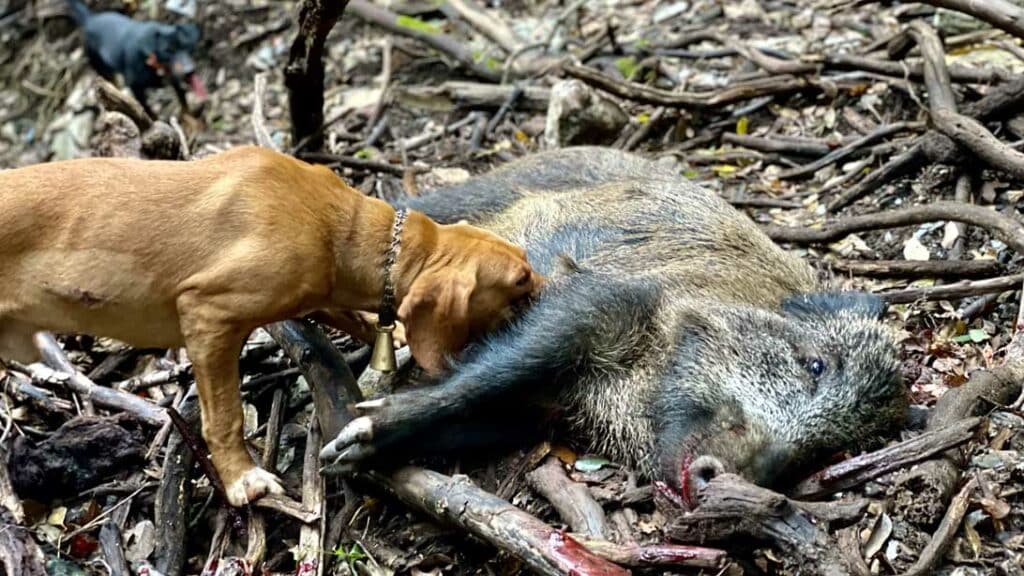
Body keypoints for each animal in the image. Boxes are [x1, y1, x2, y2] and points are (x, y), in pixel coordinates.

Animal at [0, 143, 544, 502]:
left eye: (524, 261)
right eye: (520, 280)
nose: (553, 284)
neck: (337, 224)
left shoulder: (319, 292)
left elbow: (360, 319)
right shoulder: (208, 315)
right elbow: (224, 417)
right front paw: (242, 478)